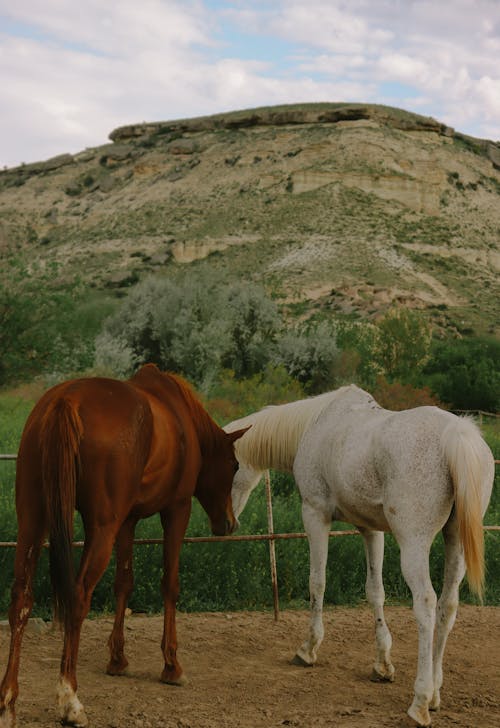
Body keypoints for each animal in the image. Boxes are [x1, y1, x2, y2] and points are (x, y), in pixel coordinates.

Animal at [0, 364, 248, 728]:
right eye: (234, 465)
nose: (229, 524)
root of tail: (66, 400)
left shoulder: (127, 522)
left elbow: (124, 583)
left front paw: (117, 659)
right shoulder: (177, 510)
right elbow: (170, 584)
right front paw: (172, 666)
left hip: (33, 519)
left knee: (21, 598)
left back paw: (8, 703)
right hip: (100, 528)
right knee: (78, 596)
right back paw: (69, 698)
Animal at [226, 384, 492, 724]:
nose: (226, 524)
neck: (316, 424)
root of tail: (456, 434)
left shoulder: (314, 514)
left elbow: (317, 582)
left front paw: (308, 649)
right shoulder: (370, 529)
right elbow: (375, 592)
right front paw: (382, 665)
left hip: (414, 544)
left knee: (426, 604)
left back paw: (420, 702)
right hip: (455, 541)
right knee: (448, 606)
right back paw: (434, 695)